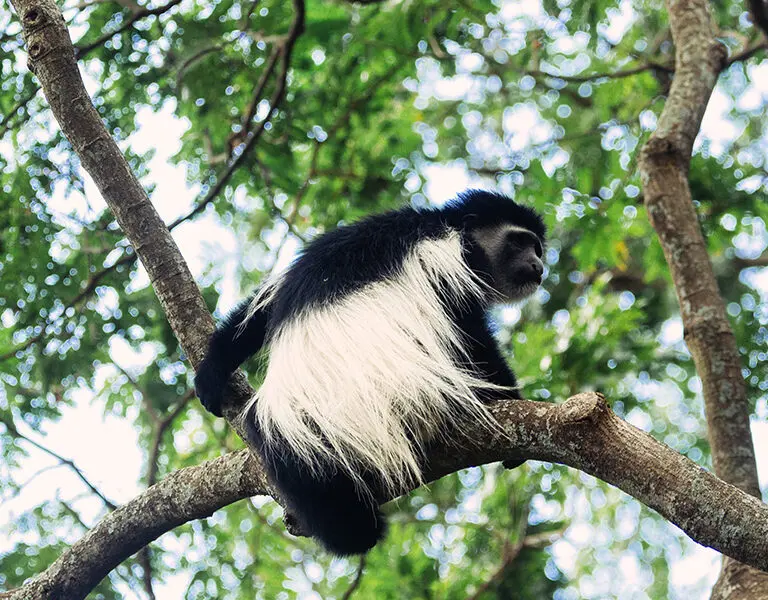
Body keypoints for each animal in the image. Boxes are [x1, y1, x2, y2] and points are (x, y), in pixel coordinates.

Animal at [194, 189, 546, 556]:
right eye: (519, 242)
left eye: (537, 248)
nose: (539, 266)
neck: (447, 224)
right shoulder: (448, 260)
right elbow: (469, 332)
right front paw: (508, 397)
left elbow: (257, 312)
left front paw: (211, 375)